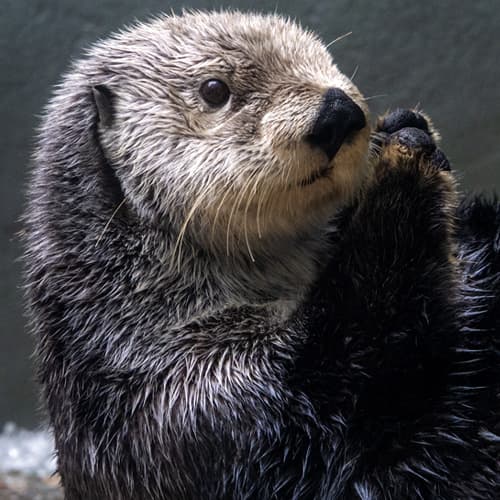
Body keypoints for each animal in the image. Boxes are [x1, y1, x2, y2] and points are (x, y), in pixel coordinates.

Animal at [21, 8, 498, 500]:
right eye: (214, 90)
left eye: (322, 58)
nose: (338, 112)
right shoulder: (194, 409)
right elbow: (361, 367)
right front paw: (404, 160)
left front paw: (404, 126)